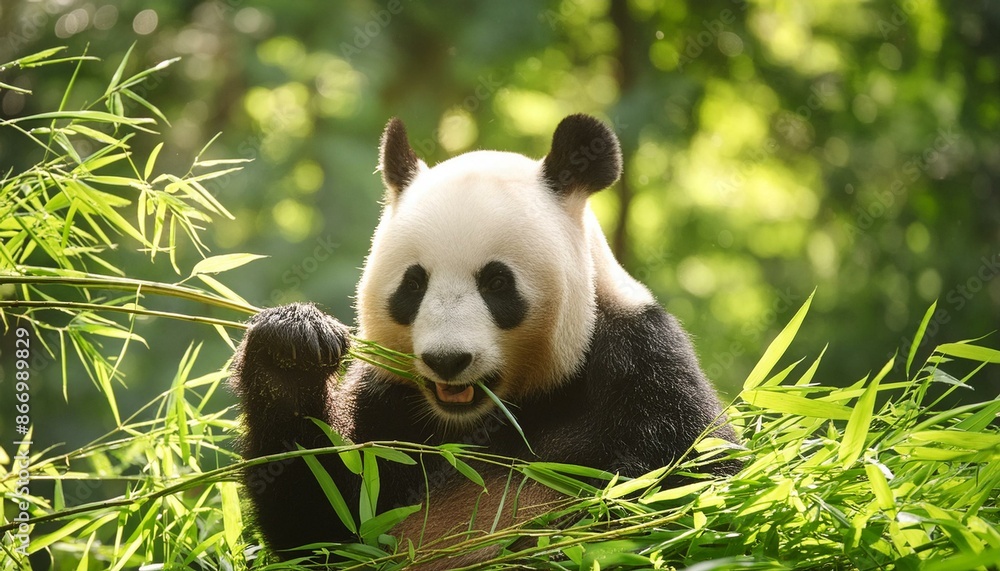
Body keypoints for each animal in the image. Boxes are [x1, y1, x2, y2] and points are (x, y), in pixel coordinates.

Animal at [229, 114, 740, 567]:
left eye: (497, 283)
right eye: (414, 284)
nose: (447, 360)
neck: (486, 422)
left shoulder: (642, 365)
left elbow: (692, 489)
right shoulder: (389, 406)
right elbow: (325, 523)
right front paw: (292, 349)